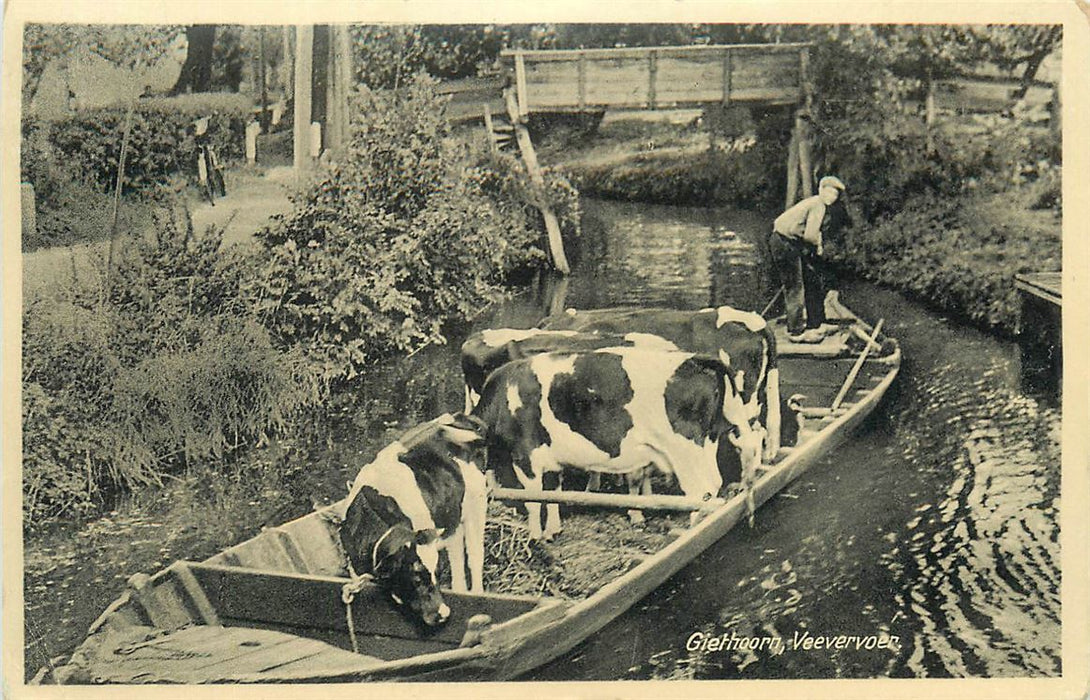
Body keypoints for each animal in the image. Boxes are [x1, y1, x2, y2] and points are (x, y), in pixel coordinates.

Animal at [337, 412, 488, 623]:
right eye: (416, 578)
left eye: (436, 573)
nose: (443, 614)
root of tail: (460, 417)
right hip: (453, 518)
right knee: (456, 554)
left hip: (477, 504)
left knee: (474, 556)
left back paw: (477, 593)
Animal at [470, 346, 767, 536]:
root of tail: (694, 359)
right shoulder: (551, 460)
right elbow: (553, 494)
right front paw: (553, 531)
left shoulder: (526, 456)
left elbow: (533, 500)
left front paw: (535, 537)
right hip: (707, 441)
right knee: (713, 484)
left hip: (684, 449)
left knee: (702, 491)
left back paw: (693, 529)